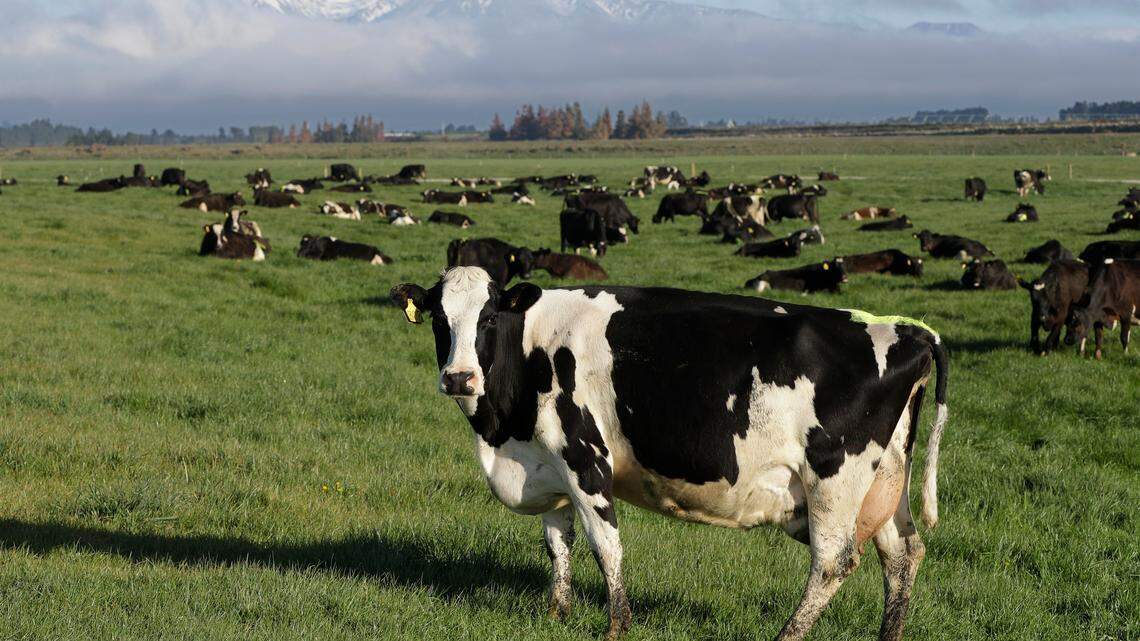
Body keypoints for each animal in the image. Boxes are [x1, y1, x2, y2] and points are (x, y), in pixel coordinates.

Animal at [389, 266, 948, 641]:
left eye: (488, 318)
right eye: (438, 319)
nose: (459, 377)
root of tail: (908, 329)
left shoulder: (585, 458)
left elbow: (605, 545)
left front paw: (617, 627)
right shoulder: (549, 462)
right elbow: (557, 541)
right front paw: (556, 614)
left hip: (834, 479)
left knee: (833, 562)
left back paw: (787, 636)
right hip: (884, 482)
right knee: (903, 556)